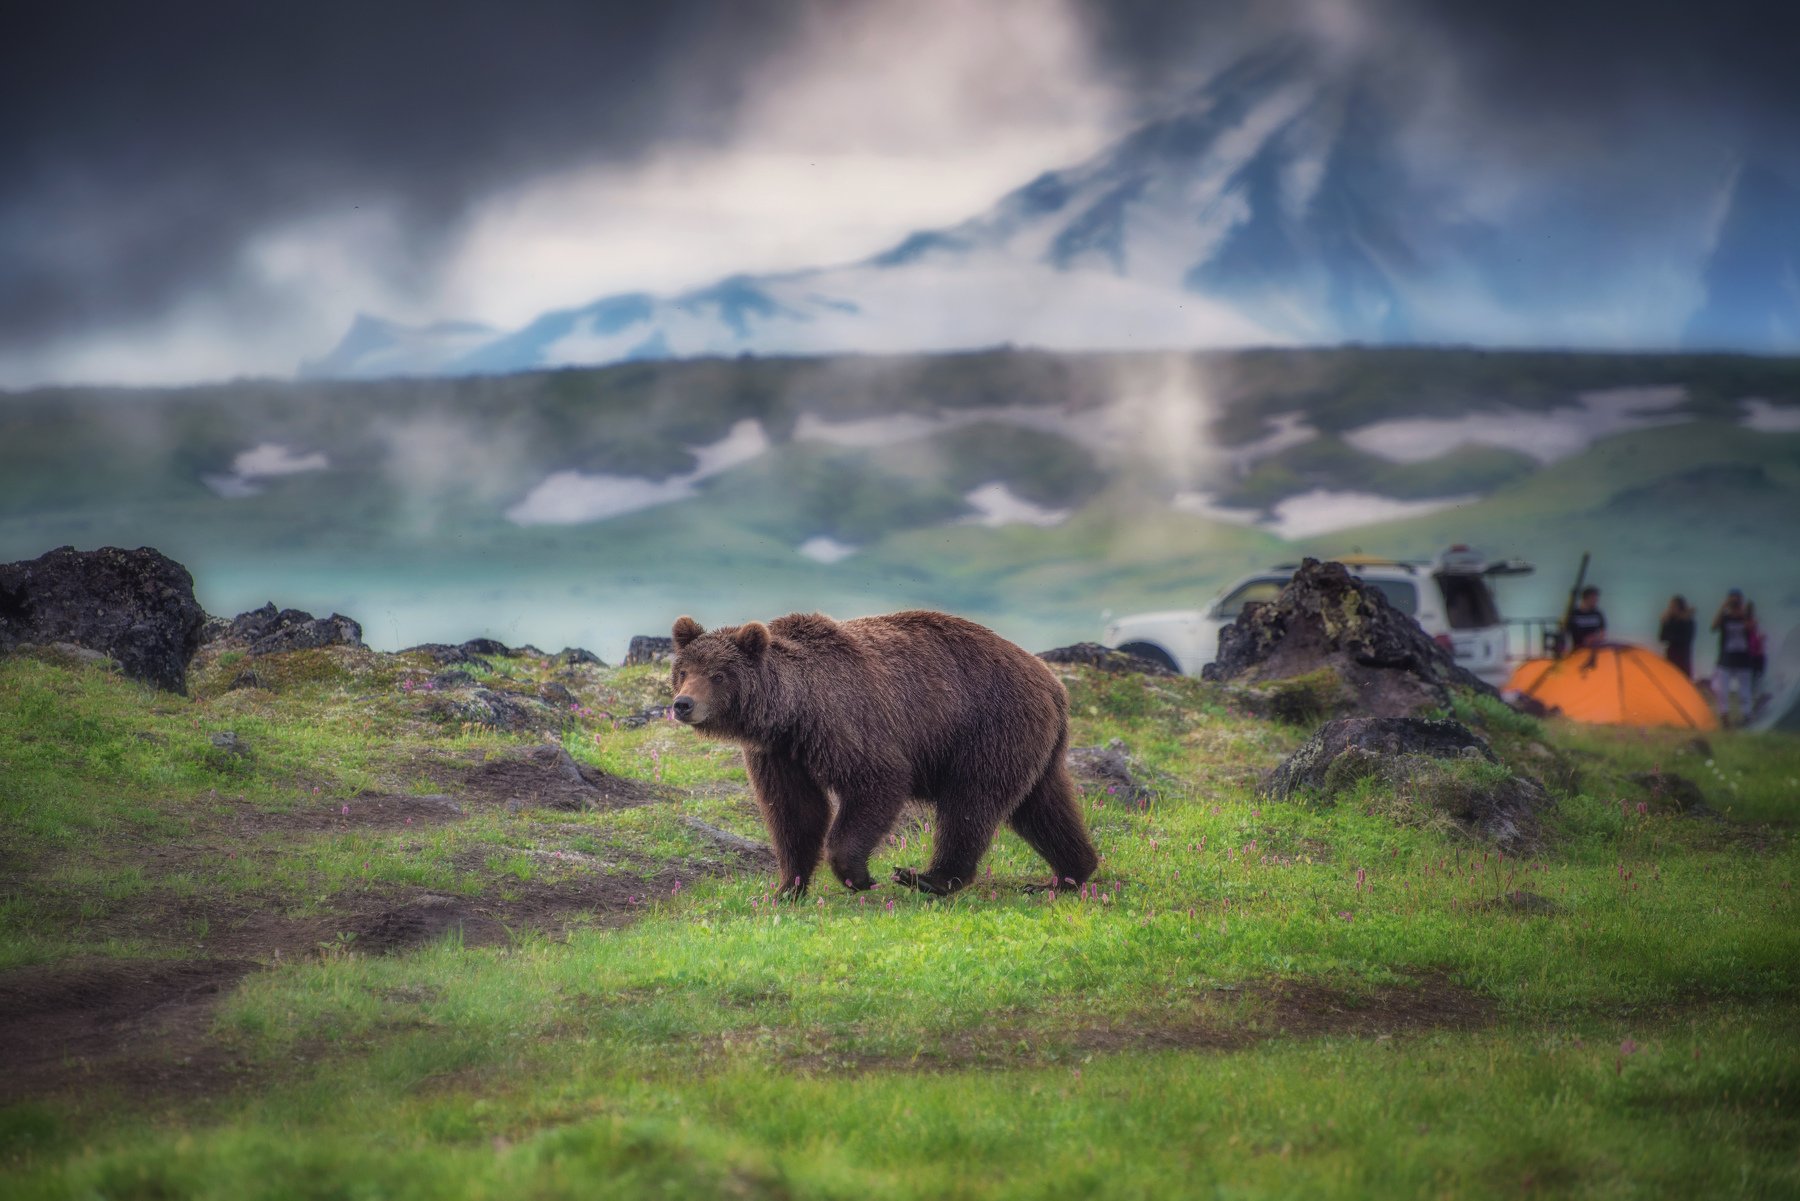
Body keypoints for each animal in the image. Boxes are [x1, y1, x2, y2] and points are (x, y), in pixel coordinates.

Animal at [673, 605, 1094, 896]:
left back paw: (929, 878)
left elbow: (877, 781)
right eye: (684, 671)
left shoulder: (848, 722)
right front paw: (787, 888)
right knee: (1042, 806)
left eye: (718, 674)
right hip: (1031, 745)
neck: (794, 710)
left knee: (971, 803)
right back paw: (1069, 875)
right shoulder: (779, 753)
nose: (682, 704)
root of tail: (1054, 684)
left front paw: (859, 876)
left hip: (989, 728)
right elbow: (796, 812)